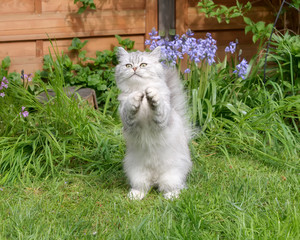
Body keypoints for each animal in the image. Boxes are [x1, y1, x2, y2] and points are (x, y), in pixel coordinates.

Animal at [115, 46, 192, 200]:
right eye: (128, 65)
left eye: (143, 64)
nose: (135, 69)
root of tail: (155, 178)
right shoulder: (128, 120)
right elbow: (130, 104)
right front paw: (137, 96)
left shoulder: (161, 120)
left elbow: (157, 104)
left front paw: (150, 94)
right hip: (137, 174)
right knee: (143, 187)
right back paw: (135, 196)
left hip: (171, 176)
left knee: (173, 188)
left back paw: (171, 197)